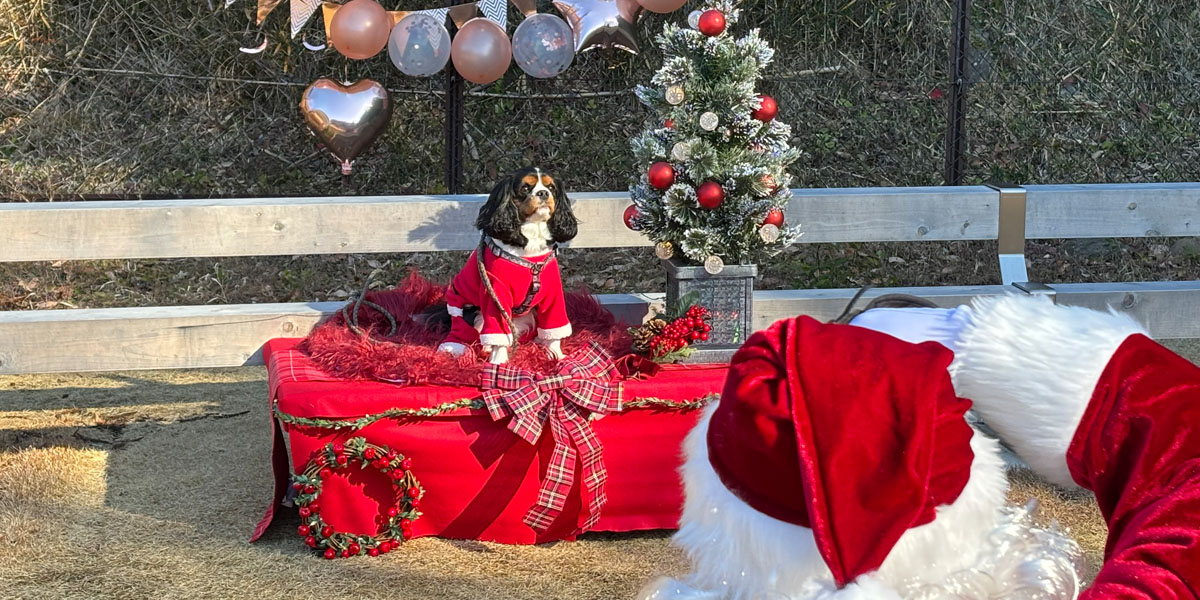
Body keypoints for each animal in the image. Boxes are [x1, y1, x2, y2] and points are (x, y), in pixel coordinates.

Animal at [436, 167, 578, 364]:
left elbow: (554, 329)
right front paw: (499, 361)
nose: (543, 193)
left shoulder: (552, 293)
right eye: (525, 188)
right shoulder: (496, 294)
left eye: (551, 187)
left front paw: (556, 355)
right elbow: (499, 333)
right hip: (465, 310)